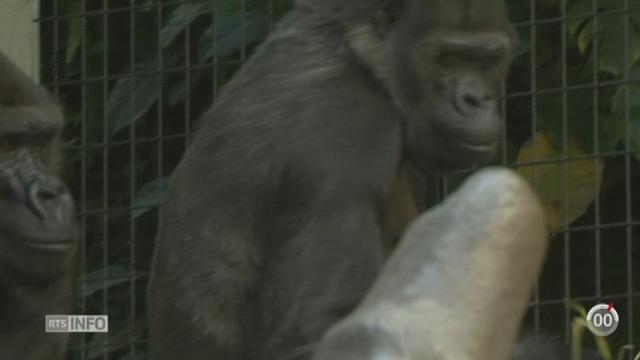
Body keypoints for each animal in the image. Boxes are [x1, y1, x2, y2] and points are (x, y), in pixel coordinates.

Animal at [149, 0, 516, 358]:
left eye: (487, 61)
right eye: (448, 58)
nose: (475, 99)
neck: (360, 57)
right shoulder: (345, 134)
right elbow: (319, 328)